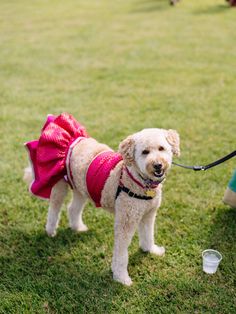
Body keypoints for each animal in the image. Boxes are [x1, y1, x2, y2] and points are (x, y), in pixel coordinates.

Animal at [24, 114, 179, 286]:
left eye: (161, 148)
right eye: (145, 152)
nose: (158, 165)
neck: (136, 179)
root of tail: (72, 141)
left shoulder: (148, 214)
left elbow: (148, 234)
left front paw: (150, 250)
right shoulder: (125, 221)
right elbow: (121, 254)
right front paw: (121, 277)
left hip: (81, 187)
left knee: (73, 208)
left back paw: (78, 227)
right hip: (60, 185)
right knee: (54, 209)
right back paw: (51, 231)